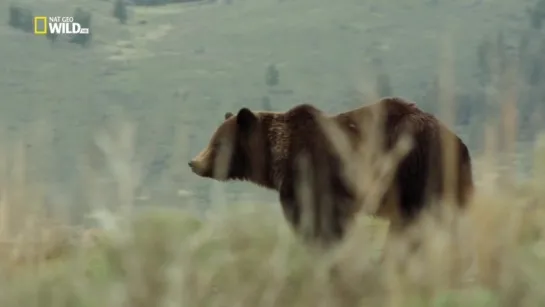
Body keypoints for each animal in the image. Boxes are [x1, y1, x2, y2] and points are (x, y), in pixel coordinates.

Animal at [189, 97, 474, 249]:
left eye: (217, 143)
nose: (194, 162)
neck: (275, 157)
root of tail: (459, 143)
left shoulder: (311, 173)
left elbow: (318, 219)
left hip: (412, 170)